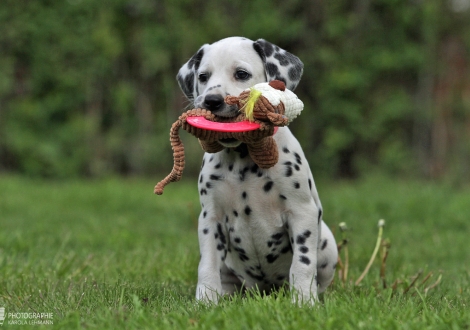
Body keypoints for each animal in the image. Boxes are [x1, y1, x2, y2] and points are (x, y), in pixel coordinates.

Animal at [176, 36, 338, 304]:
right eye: (203, 76)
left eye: (241, 74)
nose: (212, 100)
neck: (243, 157)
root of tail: (264, 289)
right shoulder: (211, 218)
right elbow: (207, 265)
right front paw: (205, 302)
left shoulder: (302, 213)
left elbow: (302, 264)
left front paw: (304, 301)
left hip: (327, 244)